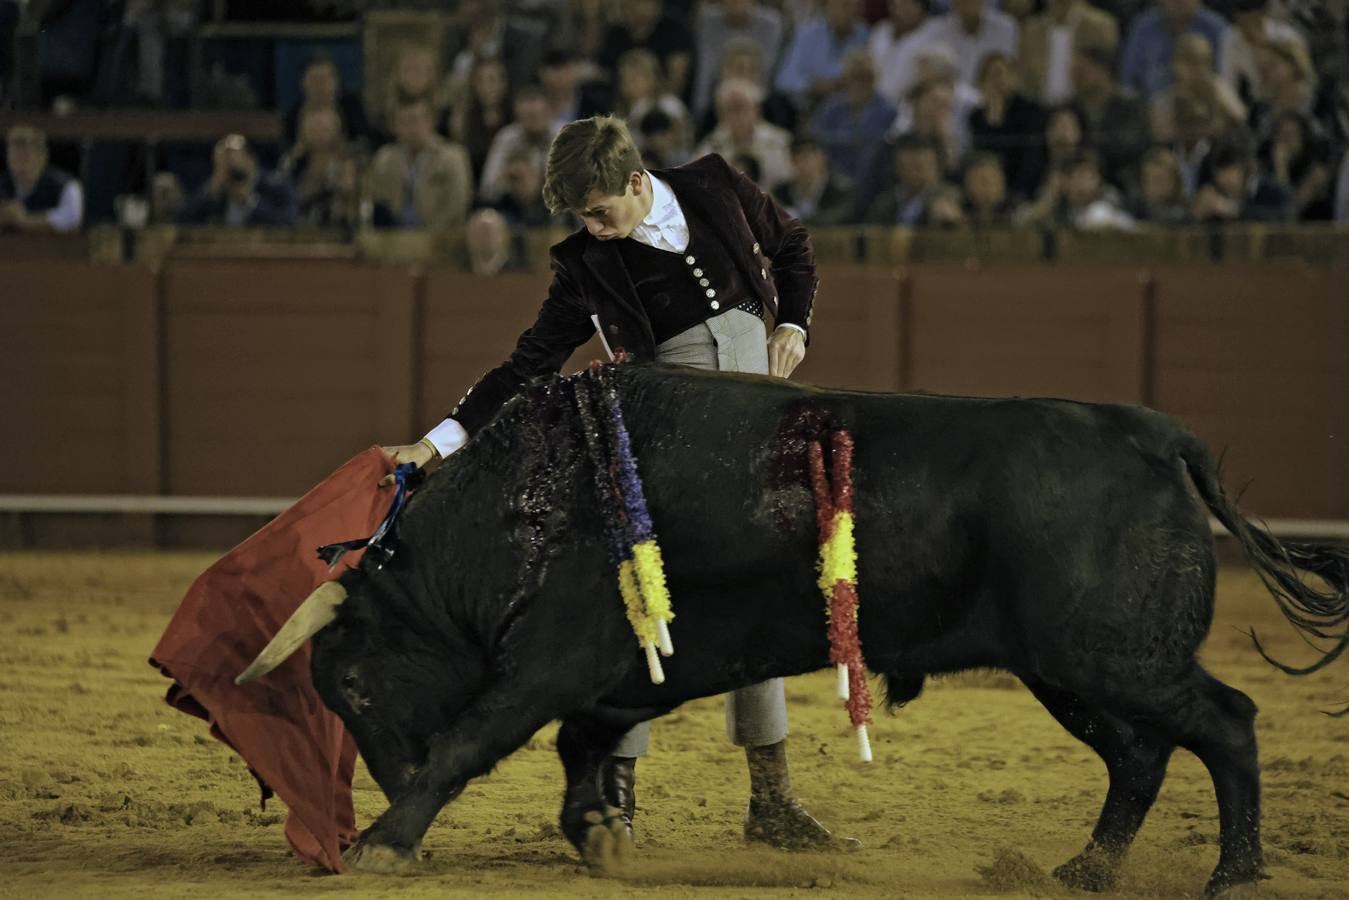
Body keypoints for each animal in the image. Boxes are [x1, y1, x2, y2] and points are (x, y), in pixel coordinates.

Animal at [245, 361, 1349, 895]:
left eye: (352, 686)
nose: (380, 788)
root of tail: (1153, 432)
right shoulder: (610, 676)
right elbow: (580, 749)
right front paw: (596, 835)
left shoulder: (548, 663)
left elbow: (476, 738)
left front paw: (385, 843)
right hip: (1070, 671)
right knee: (1140, 756)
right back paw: (1085, 871)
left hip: (1114, 656)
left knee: (1226, 723)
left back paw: (1234, 874)